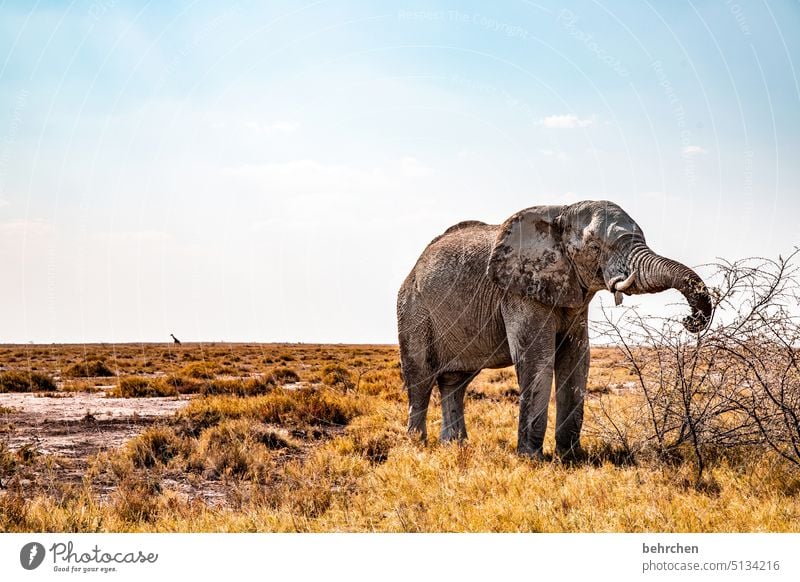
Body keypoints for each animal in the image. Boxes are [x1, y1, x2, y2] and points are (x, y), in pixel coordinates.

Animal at [396, 201, 716, 460]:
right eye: (595, 248)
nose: (689, 319)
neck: (563, 212)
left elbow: (576, 359)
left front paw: (571, 457)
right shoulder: (518, 289)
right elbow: (537, 357)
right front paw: (531, 459)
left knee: (455, 382)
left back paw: (455, 446)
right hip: (413, 309)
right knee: (420, 378)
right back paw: (417, 445)